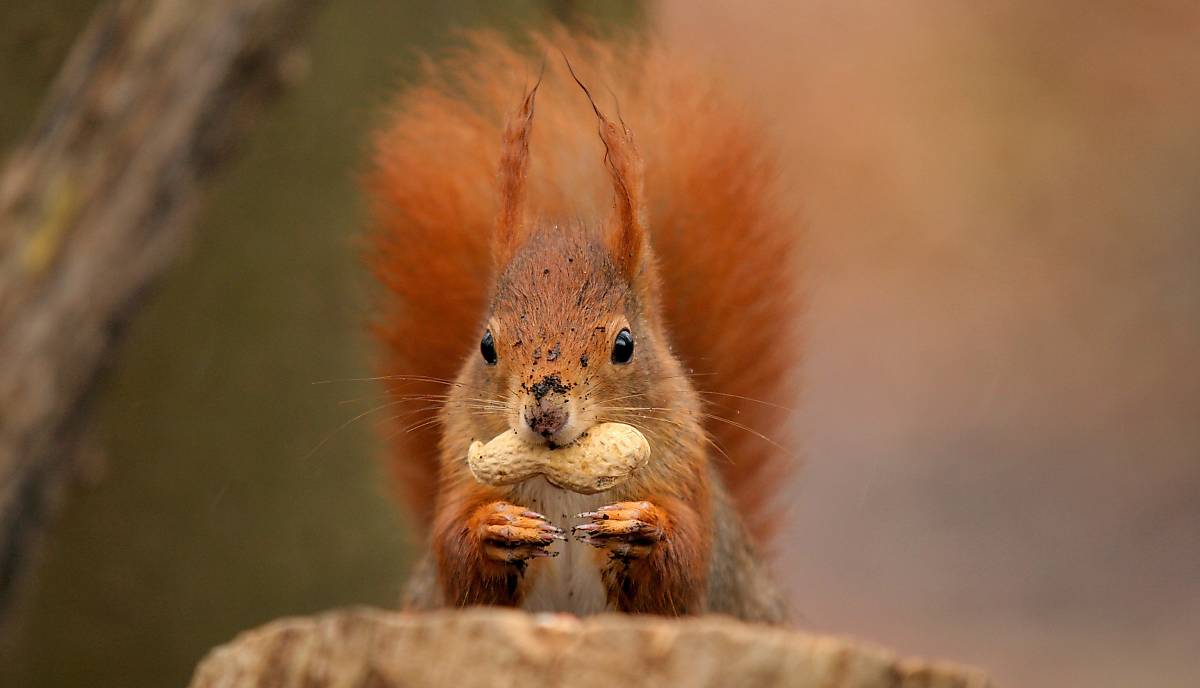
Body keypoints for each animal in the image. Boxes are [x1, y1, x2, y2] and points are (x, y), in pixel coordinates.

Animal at [362, 33, 796, 624]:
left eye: (624, 344)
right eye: (487, 345)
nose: (544, 412)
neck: (560, 474)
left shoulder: (683, 472)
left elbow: (685, 568)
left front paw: (641, 525)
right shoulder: (459, 465)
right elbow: (456, 557)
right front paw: (496, 526)